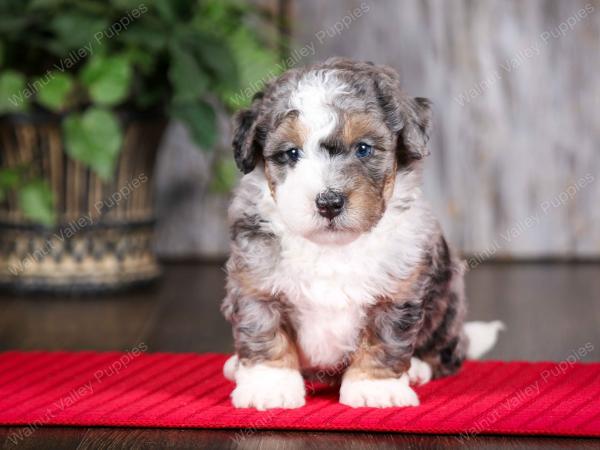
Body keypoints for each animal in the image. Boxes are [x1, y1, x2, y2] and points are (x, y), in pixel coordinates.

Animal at [220, 58, 502, 410]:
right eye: (291, 153)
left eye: (364, 149)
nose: (329, 202)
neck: (332, 249)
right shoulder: (255, 281)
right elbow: (264, 332)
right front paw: (268, 387)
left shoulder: (397, 289)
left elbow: (384, 338)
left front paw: (375, 388)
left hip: (448, 301)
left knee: (449, 352)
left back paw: (418, 367)